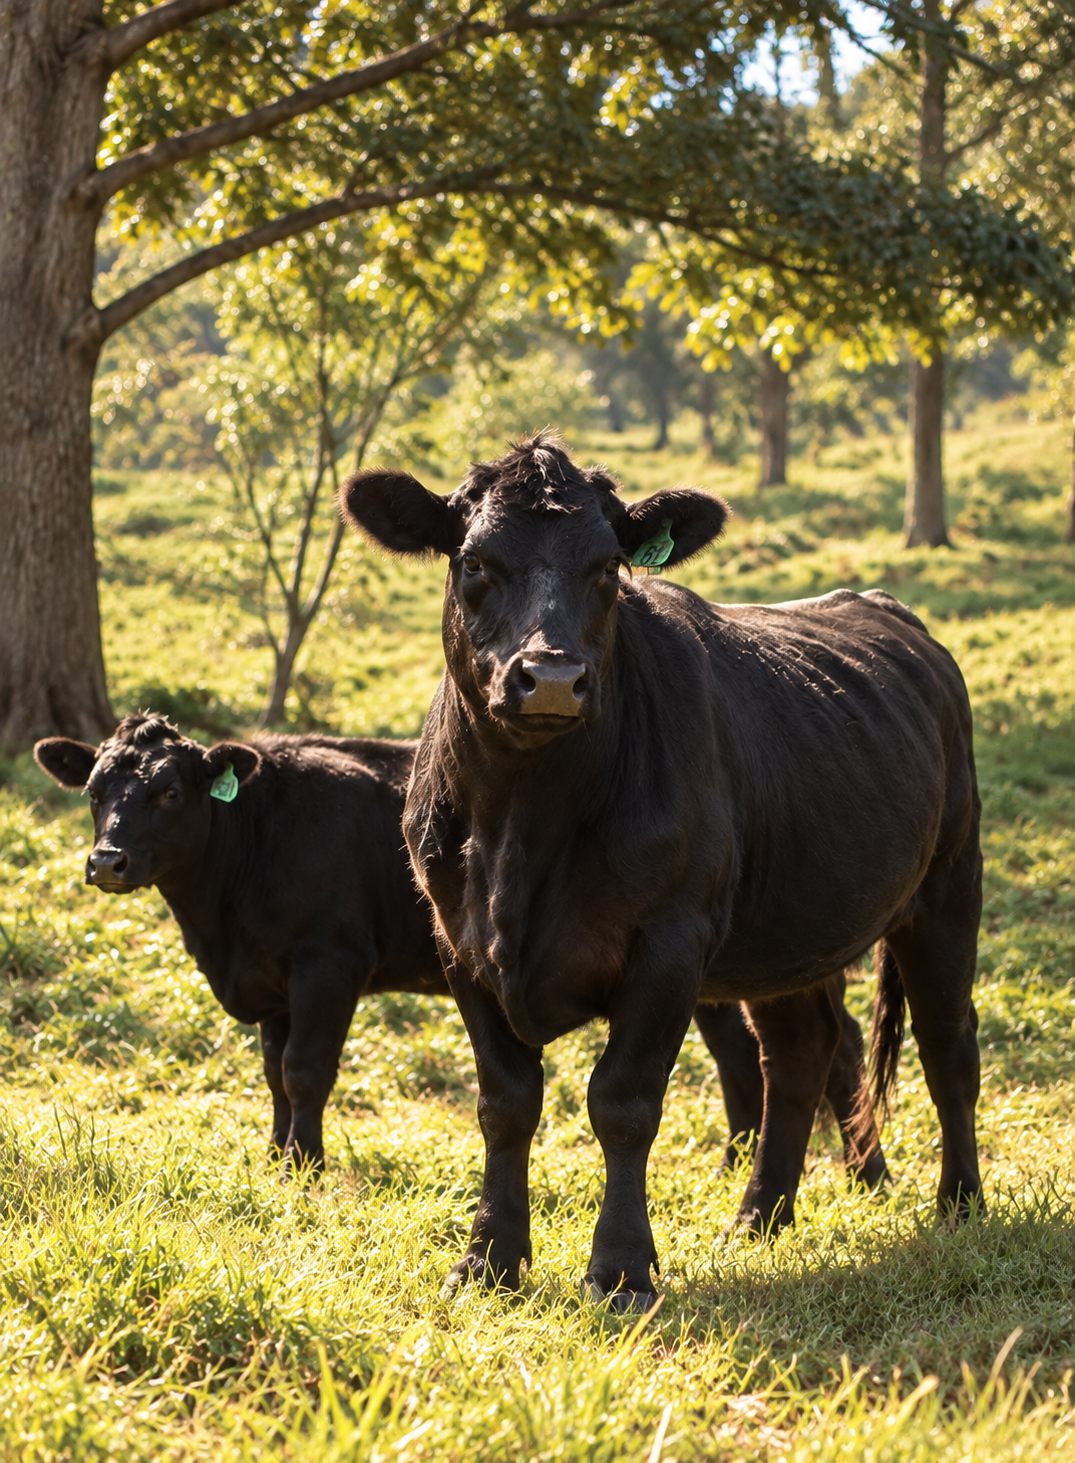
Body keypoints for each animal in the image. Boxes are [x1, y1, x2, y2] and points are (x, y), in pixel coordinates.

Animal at [34, 714, 886, 1191]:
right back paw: (740, 1166)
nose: (106, 860)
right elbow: (274, 1076)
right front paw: (277, 1158)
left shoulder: (327, 961)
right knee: (747, 1054)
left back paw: (865, 1175)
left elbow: (306, 1070)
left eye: (169, 792)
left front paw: (307, 1170)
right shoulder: (269, 977)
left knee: (834, 1047)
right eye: (95, 790)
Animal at [341, 431, 982, 1308]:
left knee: (947, 1043)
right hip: (788, 926)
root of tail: (884, 605)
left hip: (946, 885)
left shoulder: (668, 940)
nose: (550, 677)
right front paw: (488, 1260)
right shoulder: (458, 941)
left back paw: (960, 1204)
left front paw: (620, 1270)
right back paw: (758, 1218)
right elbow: (505, 1101)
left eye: (609, 567)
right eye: (473, 561)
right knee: (799, 1052)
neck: (520, 825)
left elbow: (622, 1100)